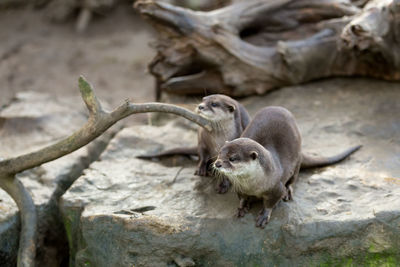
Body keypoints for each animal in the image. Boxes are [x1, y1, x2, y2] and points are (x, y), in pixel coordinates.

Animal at [214, 108, 360, 229]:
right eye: (219, 153)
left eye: (233, 158)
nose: (217, 164)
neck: (253, 185)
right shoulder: (239, 187)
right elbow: (242, 198)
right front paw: (242, 207)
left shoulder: (276, 188)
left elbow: (270, 203)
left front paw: (264, 215)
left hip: (296, 159)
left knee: (293, 178)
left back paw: (288, 192)